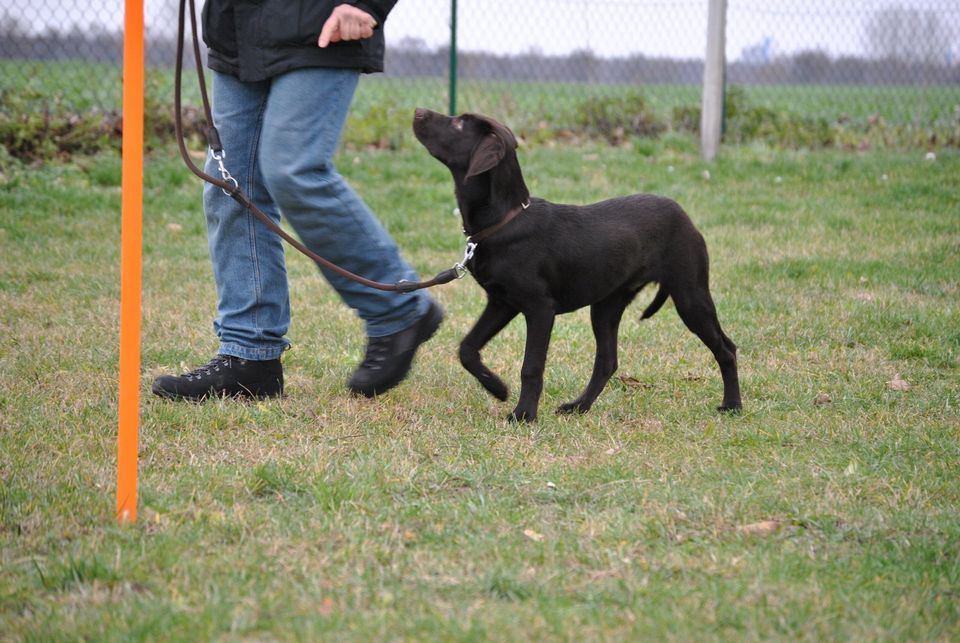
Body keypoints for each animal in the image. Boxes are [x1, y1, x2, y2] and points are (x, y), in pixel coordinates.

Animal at [414, 108, 744, 422]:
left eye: (459, 124)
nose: (418, 111)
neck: (505, 220)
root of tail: (686, 217)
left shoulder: (540, 309)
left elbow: (530, 367)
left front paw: (524, 415)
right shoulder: (501, 302)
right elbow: (467, 349)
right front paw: (498, 388)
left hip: (690, 295)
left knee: (726, 348)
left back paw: (732, 405)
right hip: (607, 305)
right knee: (607, 362)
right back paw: (579, 407)